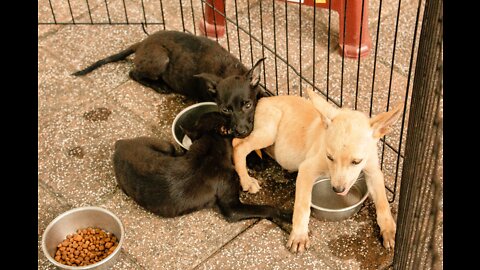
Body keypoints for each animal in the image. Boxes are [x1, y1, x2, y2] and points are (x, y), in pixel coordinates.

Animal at [73, 30, 268, 137]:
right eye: (225, 110)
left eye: (248, 105)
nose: (242, 132)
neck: (228, 71)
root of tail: (142, 43)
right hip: (160, 59)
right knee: (133, 73)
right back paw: (160, 86)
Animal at [113, 110, 292, 223]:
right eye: (226, 115)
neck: (211, 147)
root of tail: (119, 144)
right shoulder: (233, 207)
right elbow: (266, 208)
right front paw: (287, 215)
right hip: (166, 146)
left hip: (165, 147)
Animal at [232, 88, 402, 253]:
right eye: (329, 157)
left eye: (356, 161)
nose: (337, 190)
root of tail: (264, 99)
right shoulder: (307, 169)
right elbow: (302, 205)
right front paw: (299, 235)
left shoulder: (374, 172)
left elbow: (383, 203)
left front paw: (389, 230)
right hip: (268, 132)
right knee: (238, 145)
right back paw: (246, 179)